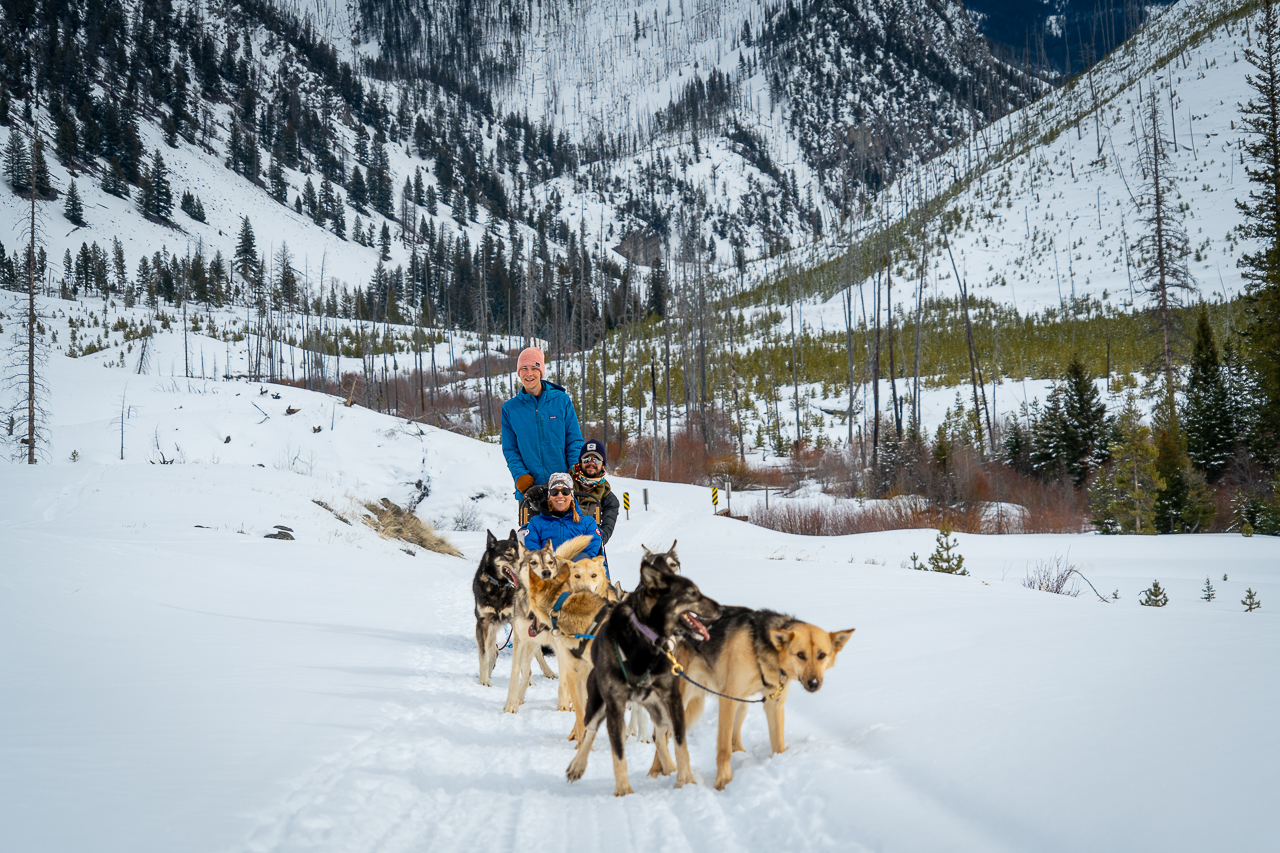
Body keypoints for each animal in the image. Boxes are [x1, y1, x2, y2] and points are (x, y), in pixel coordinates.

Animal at [665, 604, 855, 783]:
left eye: (822, 655)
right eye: (801, 655)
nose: (814, 683)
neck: (760, 650)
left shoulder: (774, 703)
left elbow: (778, 743)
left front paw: (780, 762)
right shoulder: (727, 701)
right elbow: (724, 748)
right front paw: (723, 780)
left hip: (741, 705)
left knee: (734, 738)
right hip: (683, 702)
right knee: (663, 736)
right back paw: (667, 772)